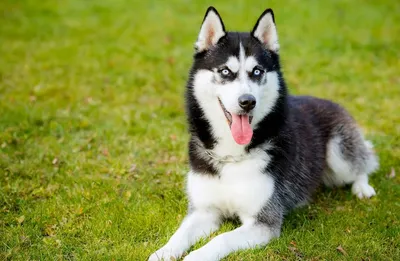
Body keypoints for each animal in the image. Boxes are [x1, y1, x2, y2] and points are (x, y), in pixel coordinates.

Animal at [149, 7, 378, 258]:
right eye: (225, 71)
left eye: (257, 71)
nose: (247, 101)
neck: (232, 155)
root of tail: (331, 102)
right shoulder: (203, 211)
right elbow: (179, 235)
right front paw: (162, 253)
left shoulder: (263, 221)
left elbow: (220, 239)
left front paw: (196, 256)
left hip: (339, 154)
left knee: (363, 164)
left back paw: (362, 187)